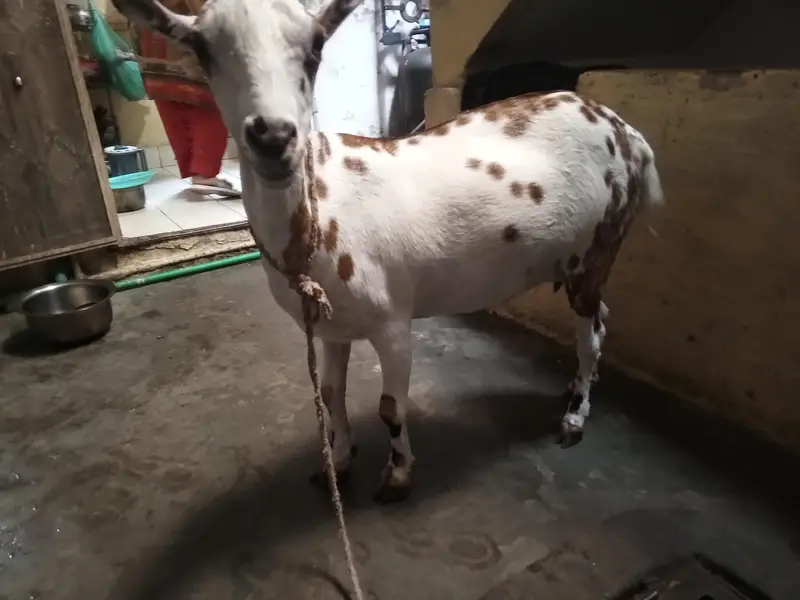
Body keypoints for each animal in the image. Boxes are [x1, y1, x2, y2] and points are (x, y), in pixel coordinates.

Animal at [112, 0, 664, 503]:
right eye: (201, 48)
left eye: (315, 48)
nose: (273, 136)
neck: (319, 210)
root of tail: (626, 131)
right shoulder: (330, 327)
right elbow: (329, 394)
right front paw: (337, 461)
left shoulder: (393, 321)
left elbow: (389, 408)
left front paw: (397, 476)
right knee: (599, 319)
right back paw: (575, 390)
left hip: (601, 242)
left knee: (591, 333)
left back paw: (574, 416)